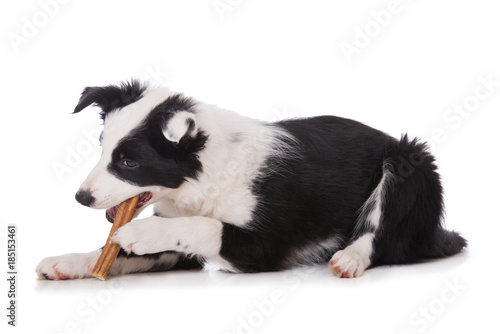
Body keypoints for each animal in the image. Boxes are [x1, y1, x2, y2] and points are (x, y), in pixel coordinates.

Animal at [37, 80, 466, 280]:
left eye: (129, 162)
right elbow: (121, 253)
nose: (80, 197)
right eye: (102, 149)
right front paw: (69, 261)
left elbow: (205, 226)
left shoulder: (265, 247)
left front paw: (141, 233)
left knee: (383, 236)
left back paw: (350, 258)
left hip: (409, 161)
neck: (201, 179)